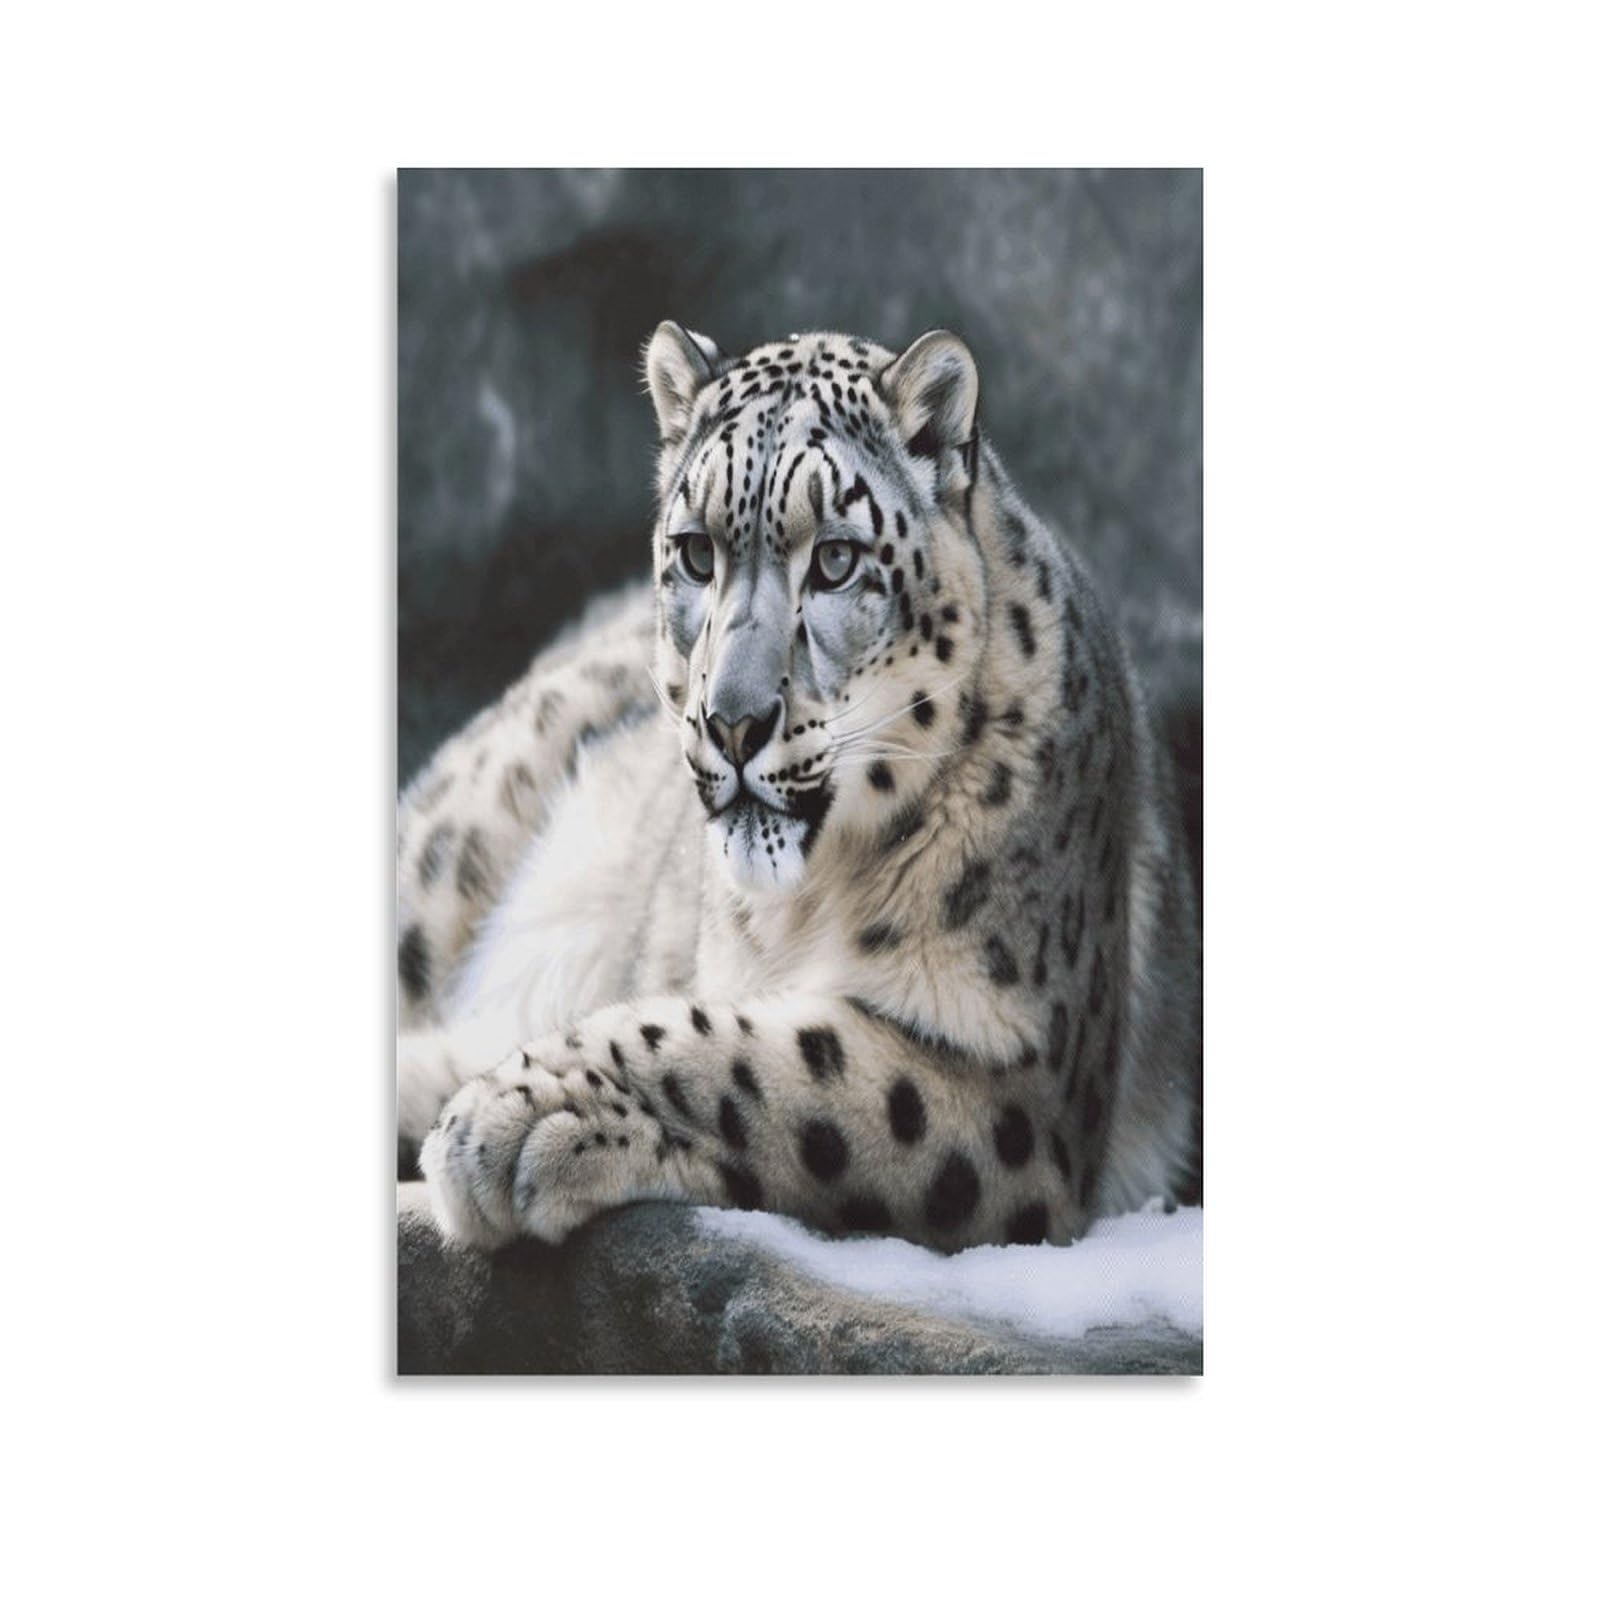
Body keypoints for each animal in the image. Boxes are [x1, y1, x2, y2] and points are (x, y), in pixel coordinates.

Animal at [399, 322, 1200, 1254]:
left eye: (838, 559)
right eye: (696, 551)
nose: (732, 721)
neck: (808, 904)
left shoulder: (1022, 1090)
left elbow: (765, 1060)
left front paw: (514, 1117)